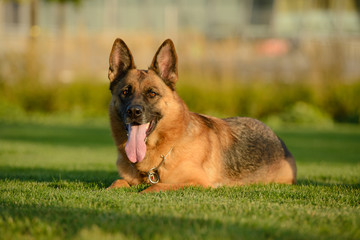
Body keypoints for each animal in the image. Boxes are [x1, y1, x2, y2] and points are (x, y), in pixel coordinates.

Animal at [106, 39, 296, 193]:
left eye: (152, 93)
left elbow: (155, 187)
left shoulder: (197, 183)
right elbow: (117, 182)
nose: (133, 112)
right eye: (125, 92)